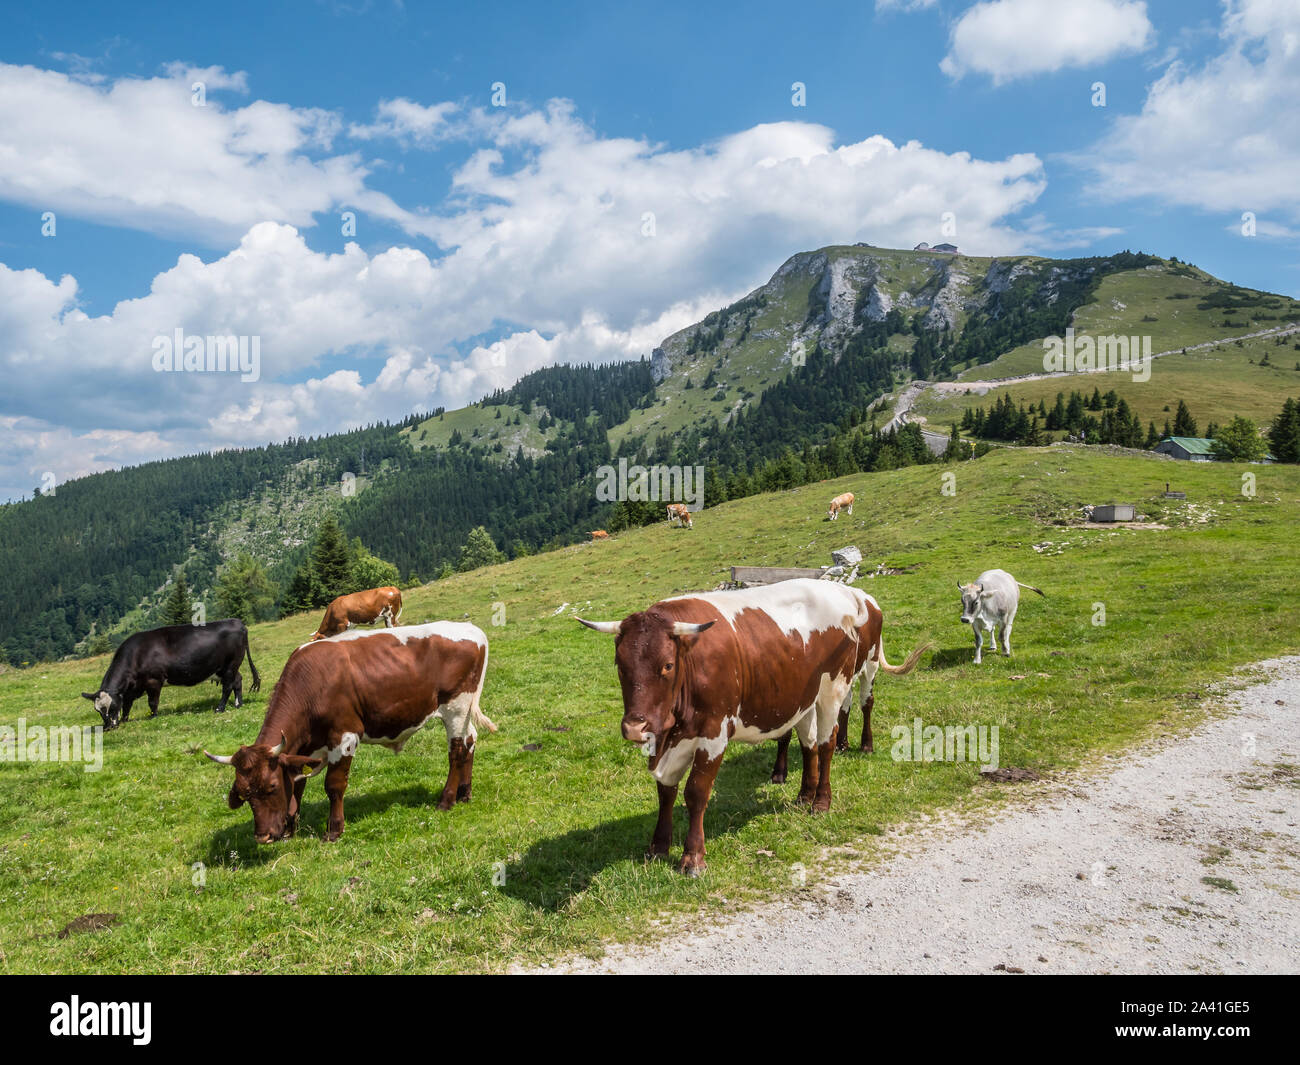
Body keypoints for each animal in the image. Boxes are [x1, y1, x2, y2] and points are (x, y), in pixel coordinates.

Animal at [81, 619, 260, 730]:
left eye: (111, 707)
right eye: (98, 711)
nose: (108, 727)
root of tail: (237, 622)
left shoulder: (153, 681)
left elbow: (152, 702)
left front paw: (153, 717)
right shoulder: (131, 689)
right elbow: (127, 705)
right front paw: (125, 719)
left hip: (230, 664)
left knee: (227, 686)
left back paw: (219, 708)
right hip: (226, 668)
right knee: (238, 680)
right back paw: (238, 704)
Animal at [204, 622, 493, 843]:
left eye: (271, 787)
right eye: (244, 793)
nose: (263, 837)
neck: (310, 684)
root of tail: (471, 628)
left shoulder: (344, 737)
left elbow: (333, 786)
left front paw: (333, 830)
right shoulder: (305, 748)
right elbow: (298, 784)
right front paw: (290, 827)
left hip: (455, 707)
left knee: (457, 751)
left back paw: (446, 800)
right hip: (463, 711)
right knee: (470, 741)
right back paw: (465, 793)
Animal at [769, 592, 929, 781]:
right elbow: (786, 733)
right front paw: (779, 772)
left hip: (870, 663)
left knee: (867, 702)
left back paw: (866, 745)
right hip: (846, 676)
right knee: (845, 706)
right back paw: (842, 744)